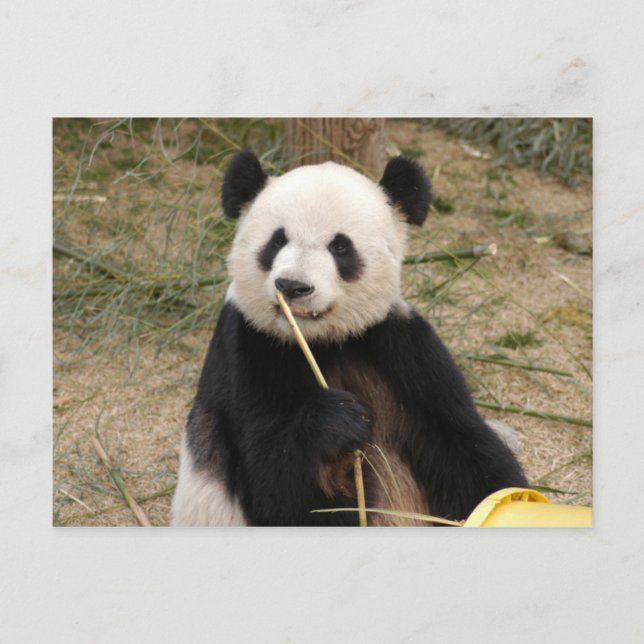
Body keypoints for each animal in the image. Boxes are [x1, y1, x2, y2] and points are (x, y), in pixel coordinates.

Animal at [171, 150, 528, 527]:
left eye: (340, 246)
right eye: (277, 241)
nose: (293, 286)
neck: (322, 340)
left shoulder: (400, 346)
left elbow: (463, 446)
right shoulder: (251, 349)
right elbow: (276, 488)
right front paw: (340, 422)